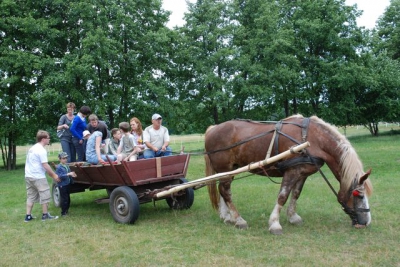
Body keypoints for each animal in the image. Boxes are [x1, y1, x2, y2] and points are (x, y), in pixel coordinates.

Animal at [205, 115, 374, 234]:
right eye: (358, 195)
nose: (366, 223)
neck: (312, 138)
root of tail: (213, 128)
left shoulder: (302, 173)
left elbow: (296, 194)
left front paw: (293, 217)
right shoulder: (291, 172)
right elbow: (283, 196)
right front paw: (275, 224)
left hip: (230, 169)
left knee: (222, 190)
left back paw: (227, 217)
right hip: (225, 168)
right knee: (225, 191)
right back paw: (239, 220)